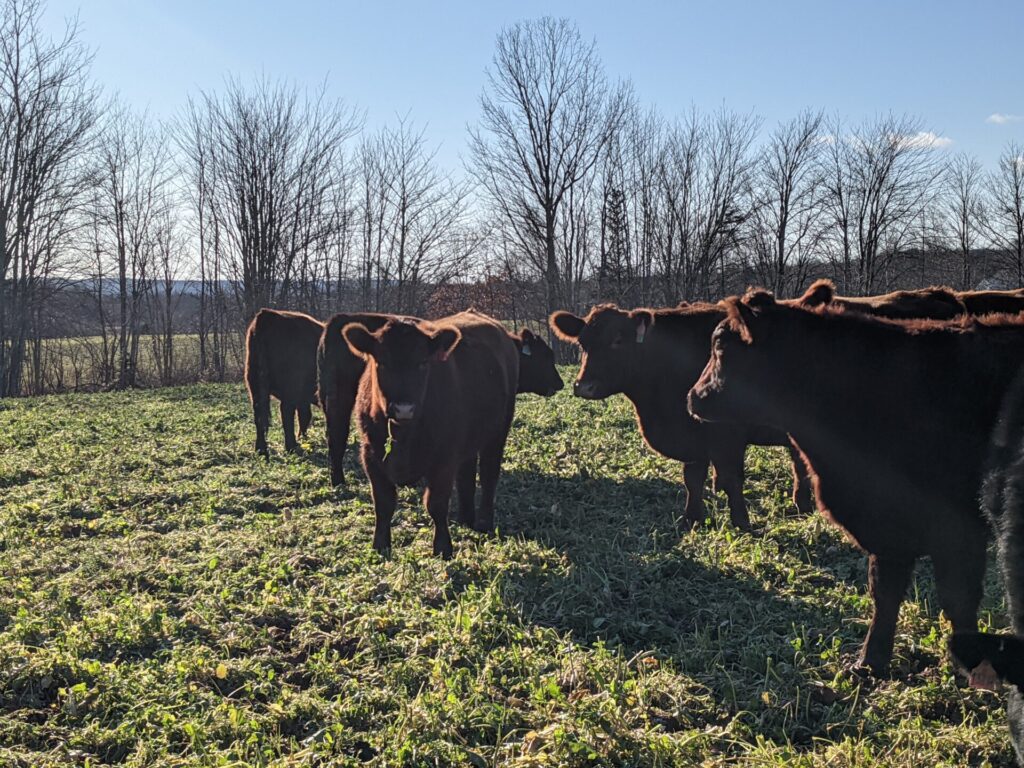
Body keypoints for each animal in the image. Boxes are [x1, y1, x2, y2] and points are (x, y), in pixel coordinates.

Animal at [244, 309, 321, 456]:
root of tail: (267, 315)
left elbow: (305, 415)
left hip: (254, 385)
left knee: (259, 414)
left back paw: (261, 449)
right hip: (290, 388)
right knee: (286, 412)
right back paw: (291, 446)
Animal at [344, 313, 520, 561]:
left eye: (423, 363)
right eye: (382, 362)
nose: (404, 408)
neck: (403, 436)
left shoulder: (443, 459)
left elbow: (436, 504)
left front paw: (443, 548)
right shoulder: (371, 456)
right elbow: (383, 503)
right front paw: (380, 546)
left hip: (498, 432)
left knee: (488, 475)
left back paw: (484, 522)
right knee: (466, 475)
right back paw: (465, 518)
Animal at [548, 303, 811, 532]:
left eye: (618, 340)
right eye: (582, 343)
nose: (583, 386)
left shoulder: (729, 436)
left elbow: (732, 480)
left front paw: (743, 524)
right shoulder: (694, 437)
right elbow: (692, 479)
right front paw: (691, 520)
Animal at [684, 290, 1024, 675]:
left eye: (720, 346)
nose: (693, 396)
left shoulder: (957, 529)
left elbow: (958, 598)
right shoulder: (889, 524)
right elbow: (885, 592)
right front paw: (870, 662)